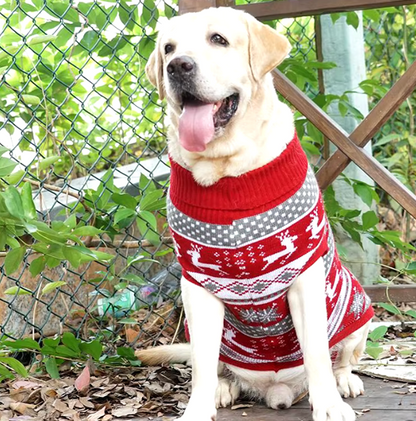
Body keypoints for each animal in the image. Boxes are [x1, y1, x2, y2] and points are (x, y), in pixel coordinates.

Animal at [136, 6, 374, 420]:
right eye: (168, 49)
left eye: (218, 39)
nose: (179, 66)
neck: (229, 172)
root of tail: (276, 390)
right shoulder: (197, 286)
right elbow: (201, 365)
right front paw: (197, 408)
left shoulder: (304, 274)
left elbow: (316, 351)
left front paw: (329, 405)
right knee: (215, 365)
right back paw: (225, 387)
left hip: (356, 309)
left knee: (341, 358)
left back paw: (344, 381)